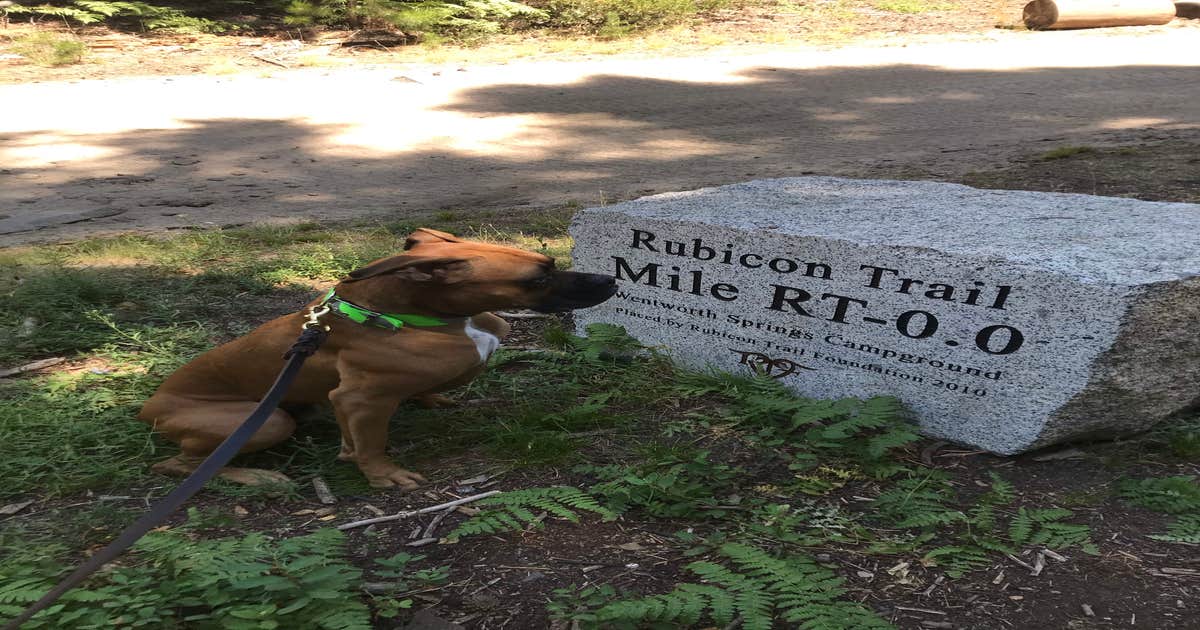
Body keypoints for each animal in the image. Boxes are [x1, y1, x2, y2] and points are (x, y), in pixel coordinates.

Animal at [136, 228, 614, 489]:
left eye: (548, 263)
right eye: (537, 279)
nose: (609, 279)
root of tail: (147, 407)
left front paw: (430, 400)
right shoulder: (359, 400)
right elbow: (370, 442)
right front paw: (383, 474)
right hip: (266, 420)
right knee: (177, 464)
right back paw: (255, 477)